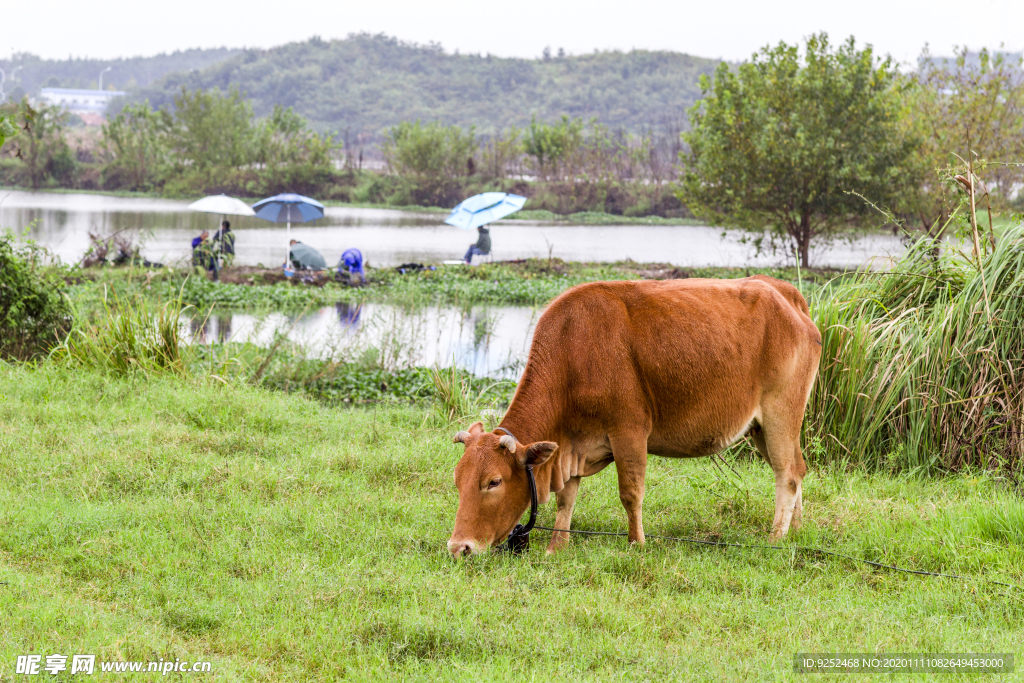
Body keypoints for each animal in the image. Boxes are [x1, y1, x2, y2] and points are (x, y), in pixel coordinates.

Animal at [448, 274, 823, 557]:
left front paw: (636, 543)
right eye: (458, 480)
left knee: (788, 474)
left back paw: (775, 539)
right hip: (761, 427)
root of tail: (782, 291)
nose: (458, 547)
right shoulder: (570, 446)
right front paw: (557, 545)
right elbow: (566, 497)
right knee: (798, 468)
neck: (573, 352)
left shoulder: (629, 431)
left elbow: (630, 492)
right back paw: (796, 531)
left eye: (493, 482)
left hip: (780, 414)